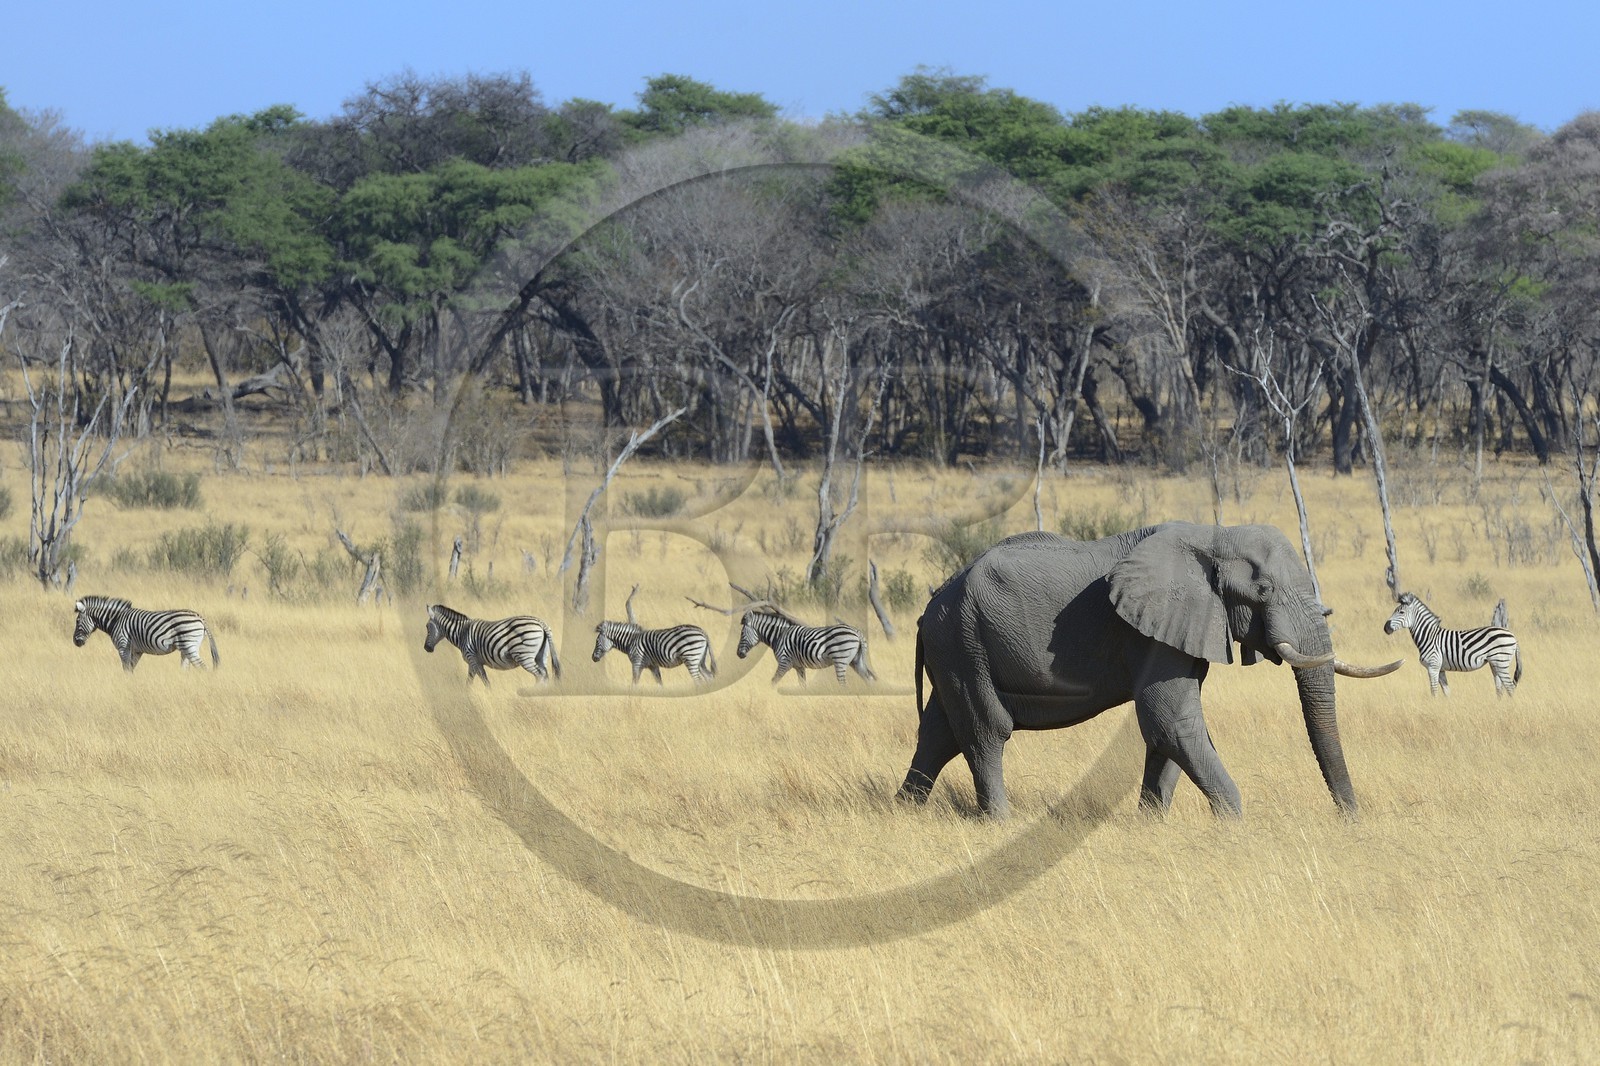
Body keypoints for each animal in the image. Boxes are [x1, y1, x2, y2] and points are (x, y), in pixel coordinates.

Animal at [896, 522, 1400, 820]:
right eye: (1263, 590)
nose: (1350, 821)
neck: (1213, 535)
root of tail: (929, 607)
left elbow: (1168, 729)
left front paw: (1151, 823)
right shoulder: (1149, 629)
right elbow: (1170, 718)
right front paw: (1234, 824)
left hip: (955, 647)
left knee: (939, 732)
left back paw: (905, 810)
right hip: (964, 641)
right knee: (986, 730)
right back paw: (999, 822)